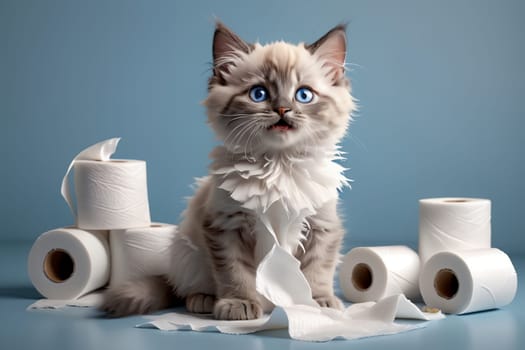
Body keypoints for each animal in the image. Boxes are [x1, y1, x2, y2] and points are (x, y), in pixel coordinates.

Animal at [101, 21, 356, 320]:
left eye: (303, 95)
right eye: (259, 94)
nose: (283, 109)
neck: (278, 164)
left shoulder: (321, 226)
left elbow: (316, 271)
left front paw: (317, 303)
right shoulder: (225, 226)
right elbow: (235, 273)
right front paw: (238, 304)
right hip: (188, 252)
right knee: (183, 288)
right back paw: (204, 300)